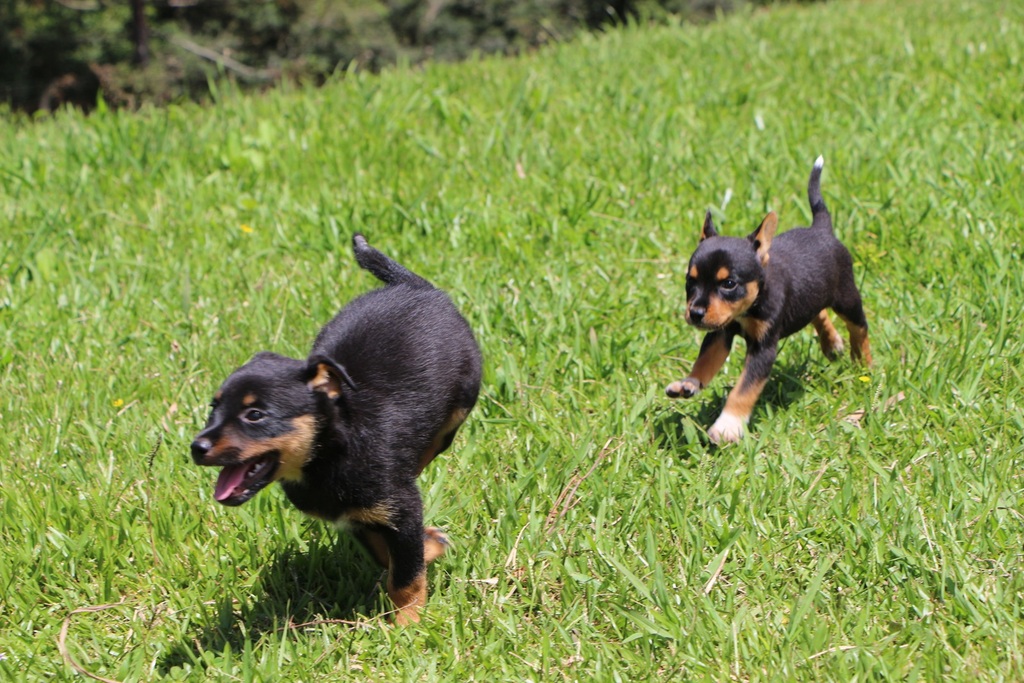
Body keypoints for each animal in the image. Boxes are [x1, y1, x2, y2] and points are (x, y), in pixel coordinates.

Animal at [192, 235, 483, 626]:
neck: (326, 453)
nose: (197, 447)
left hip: (458, 408)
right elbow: (386, 555)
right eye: (214, 408)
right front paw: (428, 547)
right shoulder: (357, 519)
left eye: (255, 415)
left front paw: (407, 625)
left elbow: (405, 574)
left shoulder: (400, 506)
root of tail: (416, 286)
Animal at [663, 154, 872, 444]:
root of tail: (821, 229)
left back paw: (864, 364)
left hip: (846, 297)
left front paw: (728, 425)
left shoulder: (763, 349)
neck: (751, 304)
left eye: (729, 284)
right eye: (690, 281)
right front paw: (690, 382)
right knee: (817, 311)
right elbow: (706, 360)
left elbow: (744, 388)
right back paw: (831, 343)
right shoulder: (721, 332)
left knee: (859, 327)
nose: (695, 314)